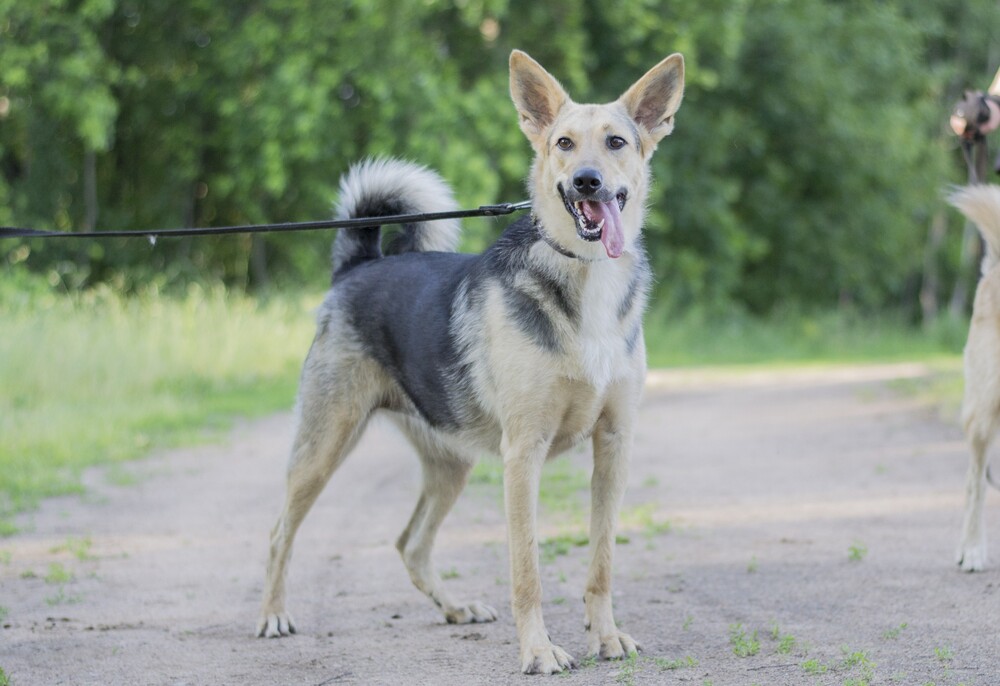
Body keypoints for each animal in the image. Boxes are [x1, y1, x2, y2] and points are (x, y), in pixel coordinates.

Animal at [254, 51, 684, 676]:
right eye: (563, 142)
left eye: (616, 141)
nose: (587, 180)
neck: (584, 272)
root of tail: (361, 262)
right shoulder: (523, 453)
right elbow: (527, 570)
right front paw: (538, 651)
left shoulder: (614, 444)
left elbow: (601, 562)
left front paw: (604, 637)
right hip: (324, 443)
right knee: (279, 531)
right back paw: (272, 614)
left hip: (449, 464)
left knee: (410, 544)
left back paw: (456, 608)